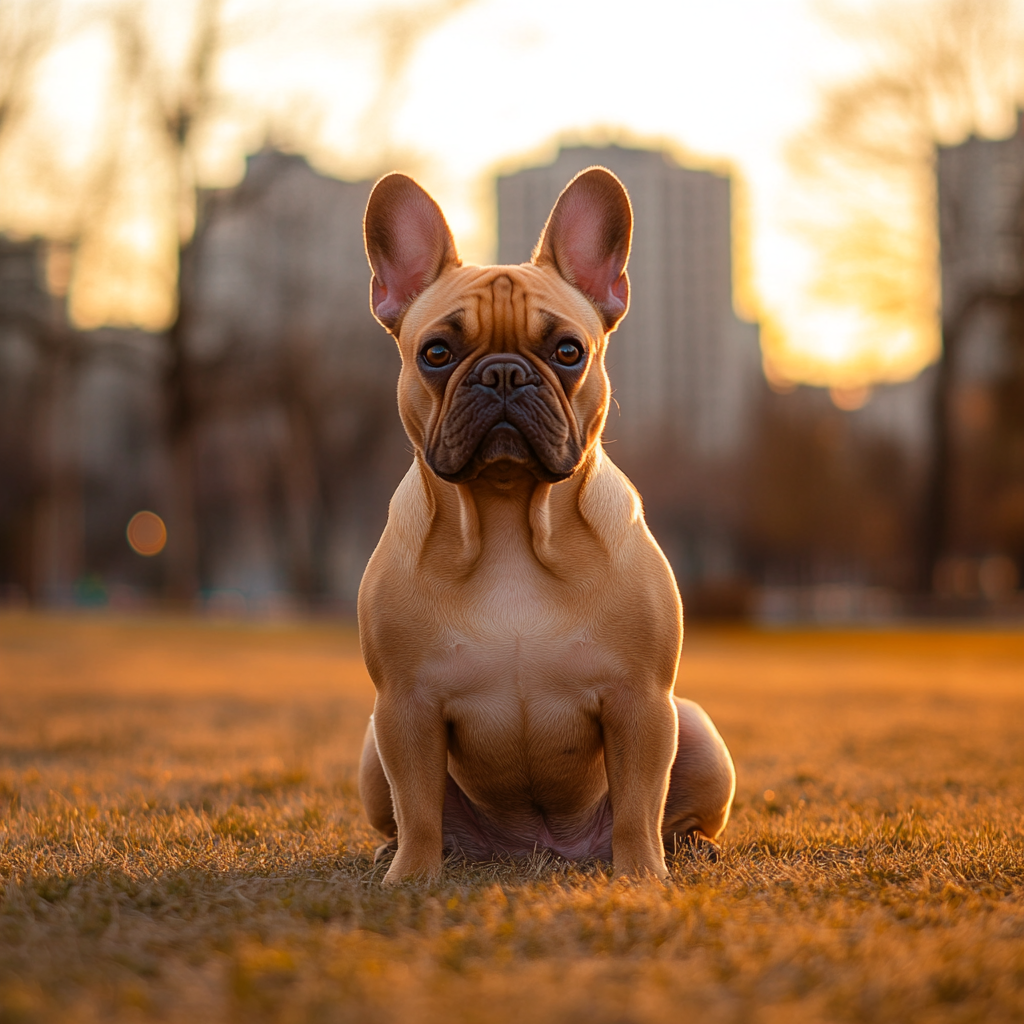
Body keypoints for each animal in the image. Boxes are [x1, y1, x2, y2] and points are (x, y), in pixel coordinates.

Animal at [356, 165, 733, 880]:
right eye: (436, 352)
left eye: (567, 350)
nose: (504, 374)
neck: (509, 521)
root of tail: (539, 852)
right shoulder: (404, 708)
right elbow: (417, 806)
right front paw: (412, 876)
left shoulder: (642, 702)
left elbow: (639, 803)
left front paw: (642, 877)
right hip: (369, 749)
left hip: (695, 728)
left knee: (674, 812)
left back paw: (689, 848)